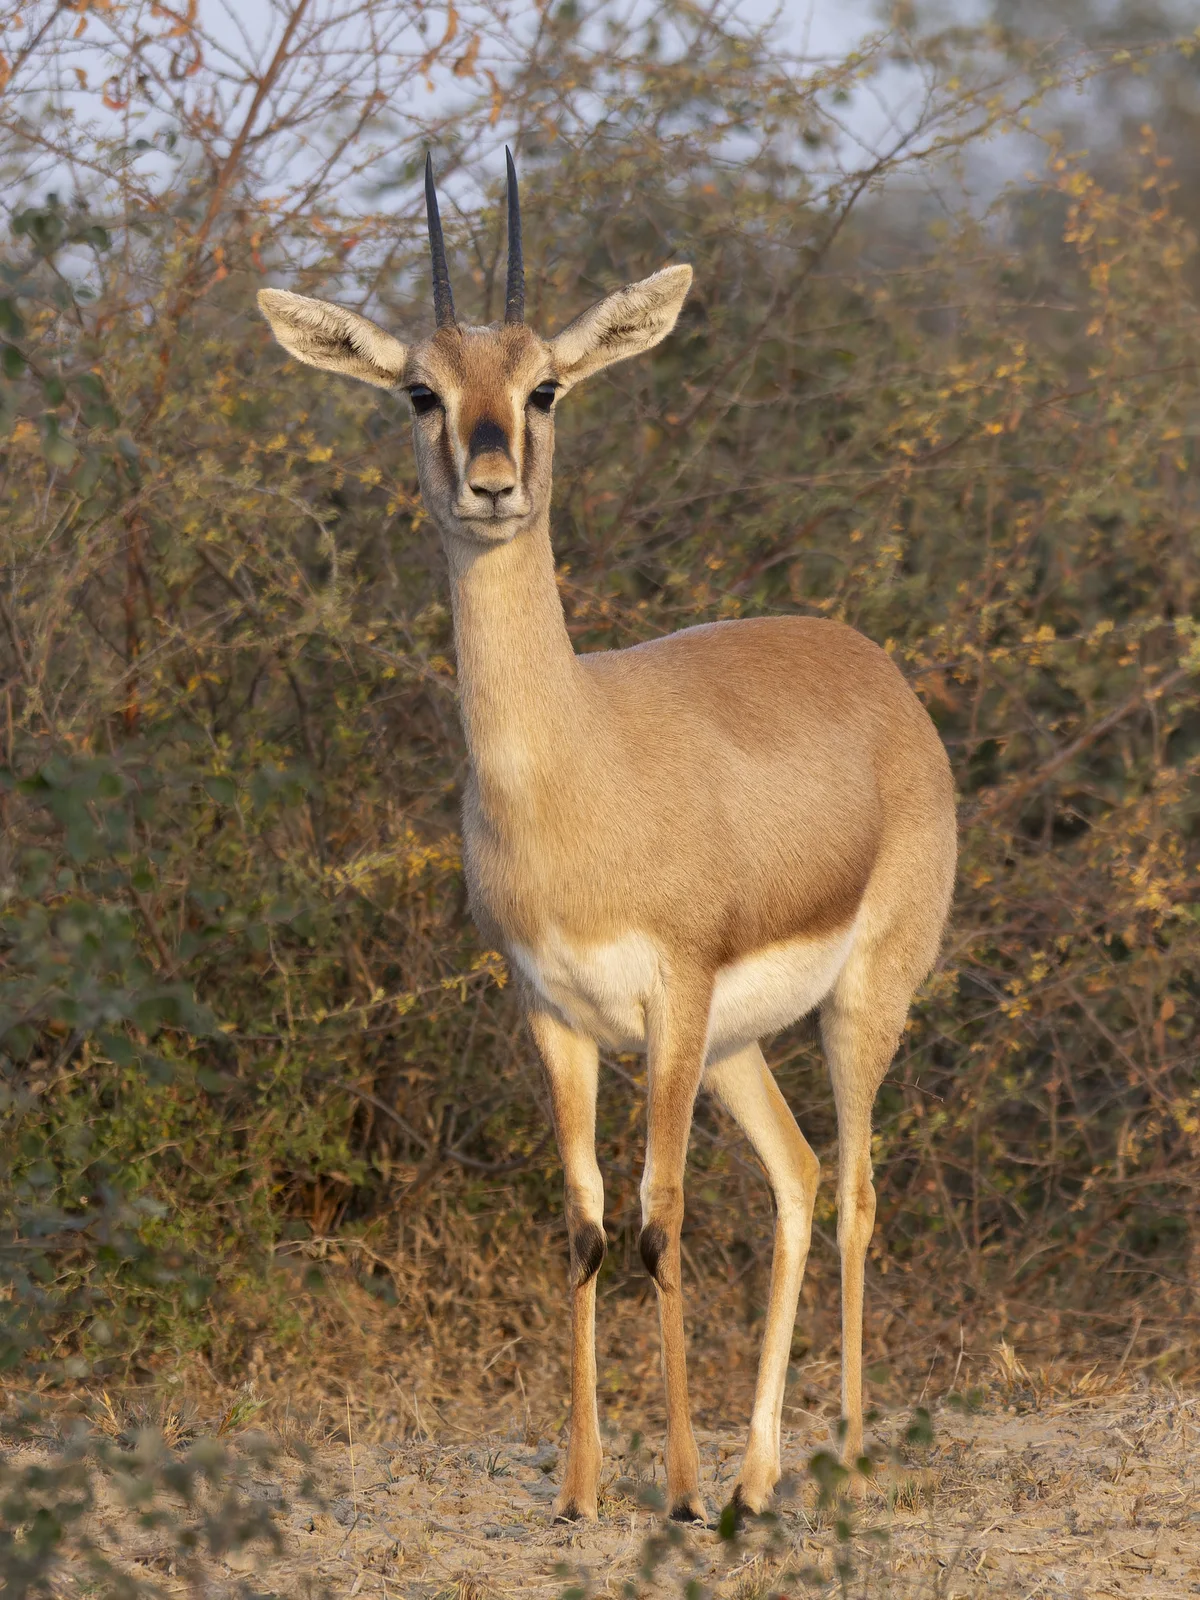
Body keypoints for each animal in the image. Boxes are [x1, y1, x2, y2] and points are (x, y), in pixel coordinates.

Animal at [257, 151, 957, 1524]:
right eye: (420, 390)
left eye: (546, 385)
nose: (490, 484)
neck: (576, 767)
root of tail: (876, 669)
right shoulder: (554, 1013)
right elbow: (585, 1221)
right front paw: (584, 1488)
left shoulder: (673, 998)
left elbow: (660, 1217)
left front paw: (670, 1491)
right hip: (737, 1048)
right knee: (799, 1178)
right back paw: (758, 1474)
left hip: (860, 1004)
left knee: (854, 1191)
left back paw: (837, 1462)